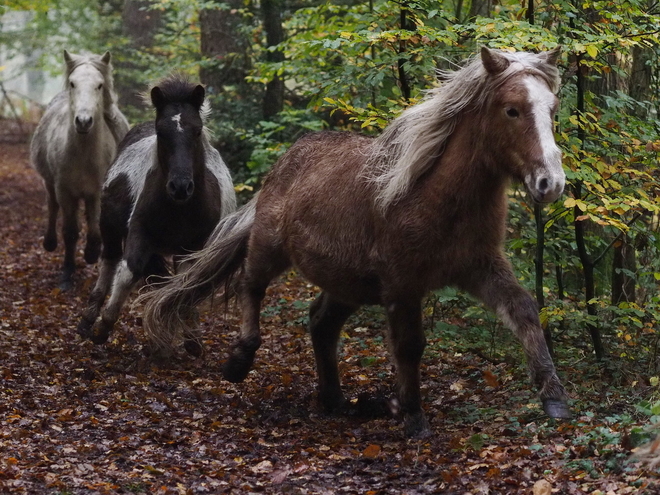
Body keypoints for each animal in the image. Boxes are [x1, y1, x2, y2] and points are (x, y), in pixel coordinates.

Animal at [78, 75, 236, 348]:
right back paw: (89, 318)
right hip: (109, 228)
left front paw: (192, 339)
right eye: (161, 132)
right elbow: (128, 273)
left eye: (197, 130)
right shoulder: (139, 233)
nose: (180, 187)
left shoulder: (194, 247)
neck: (179, 209)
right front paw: (103, 326)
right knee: (110, 262)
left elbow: (185, 286)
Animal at [142, 48, 568, 438]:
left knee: (321, 324)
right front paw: (413, 416)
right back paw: (240, 360)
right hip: (270, 247)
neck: (437, 195)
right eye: (512, 110)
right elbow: (409, 345)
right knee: (252, 285)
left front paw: (554, 396)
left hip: (349, 284)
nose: (550, 183)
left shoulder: (480, 267)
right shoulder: (402, 284)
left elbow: (524, 310)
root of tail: (288, 158)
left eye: (553, 108)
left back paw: (333, 398)